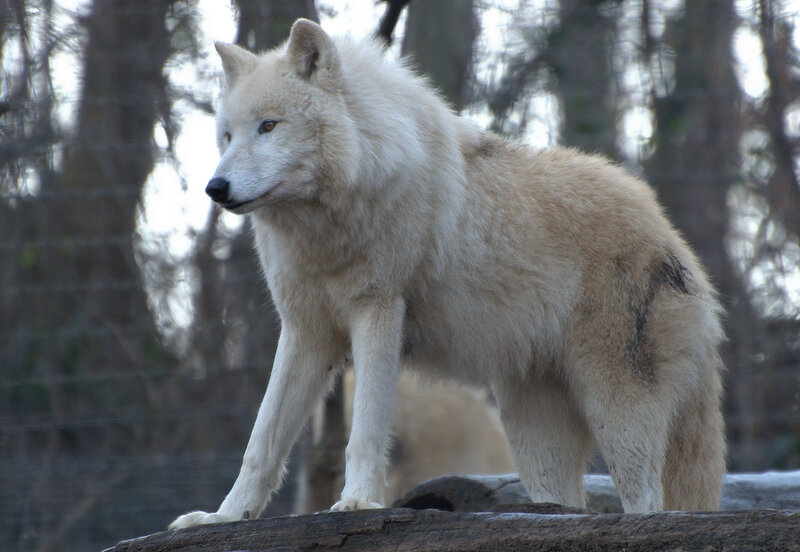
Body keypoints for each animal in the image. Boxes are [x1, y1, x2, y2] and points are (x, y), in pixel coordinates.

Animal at [169, 19, 725, 529]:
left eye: (269, 126)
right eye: (227, 135)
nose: (215, 188)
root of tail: (670, 232)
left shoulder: (378, 310)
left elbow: (365, 430)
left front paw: (357, 503)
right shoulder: (306, 330)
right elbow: (261, 441)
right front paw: (223, 517)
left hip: (618, 410)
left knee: (648, 503)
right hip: (532, 429)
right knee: (567, 502)